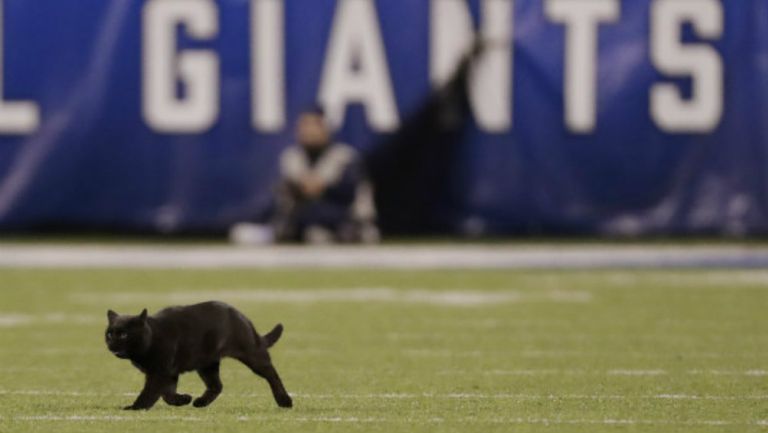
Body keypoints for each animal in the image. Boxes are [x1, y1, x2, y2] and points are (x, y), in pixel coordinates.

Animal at [105, 300, 292, 408]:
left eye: (123, 334)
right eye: (109, 334)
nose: (111, 343)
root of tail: (240, 315)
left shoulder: (160, 373)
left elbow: (150, 392)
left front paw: (134, 408)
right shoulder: (168, 373)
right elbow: (167, 394)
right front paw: (183, 400)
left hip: (252, 354)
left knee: (272, 374)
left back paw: (285, 401)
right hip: (206, 364)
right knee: (217, 385)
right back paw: (200, 403)